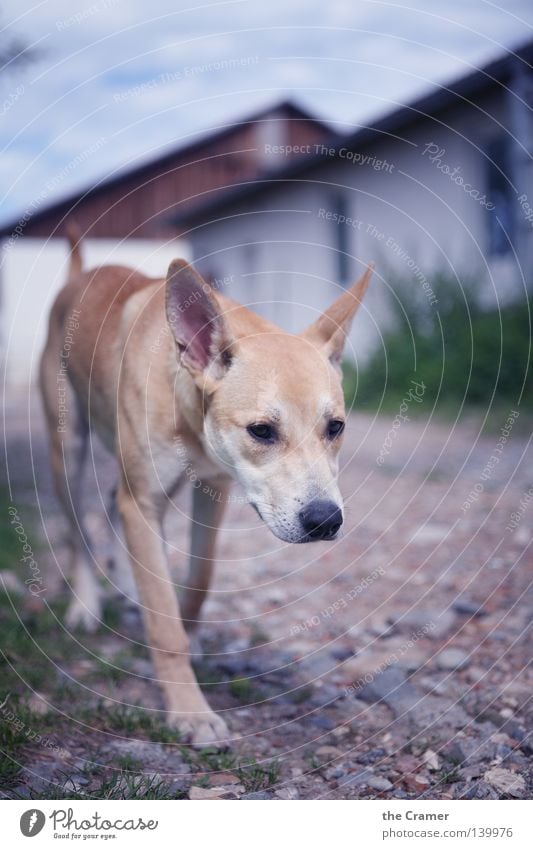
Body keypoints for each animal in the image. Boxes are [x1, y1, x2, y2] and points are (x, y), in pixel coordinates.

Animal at [39, 230, 372, 744]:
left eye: (335, 427)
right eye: (261, 430)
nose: (325, 520)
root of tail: (81, 273)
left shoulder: (211, 491)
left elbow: (200, 577)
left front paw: (190, 631)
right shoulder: (144, 500)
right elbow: (164, 627)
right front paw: (189, 712)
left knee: (113, 512)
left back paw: (124, 584)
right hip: (67, 447)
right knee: (78, 530)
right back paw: (85, 605)